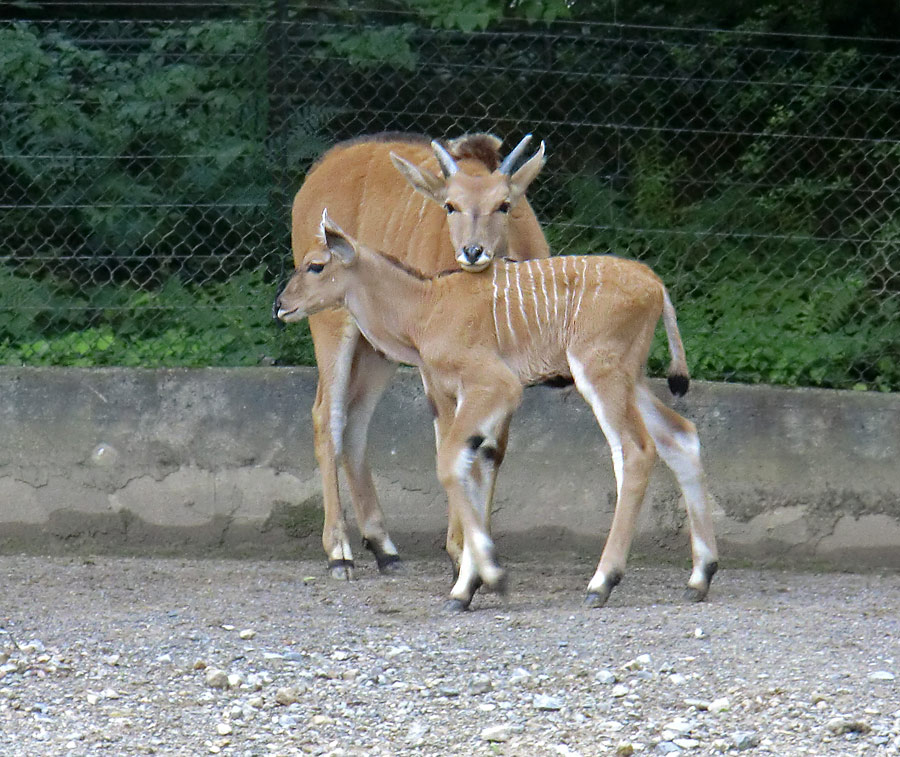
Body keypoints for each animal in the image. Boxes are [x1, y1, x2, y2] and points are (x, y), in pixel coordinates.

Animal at [278, 211, 720, 608]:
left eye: (316, 265)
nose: (280, 304)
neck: (426, 307)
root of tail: (655, 284)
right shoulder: (464, 400)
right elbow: (474, 469)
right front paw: (467, 585)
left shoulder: (495, 386)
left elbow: (450, 464)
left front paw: (487, 577)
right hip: (632, 380)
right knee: (680, 436)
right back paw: (699, 577)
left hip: (600, 373)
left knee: (635, 450)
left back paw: (602, 582)